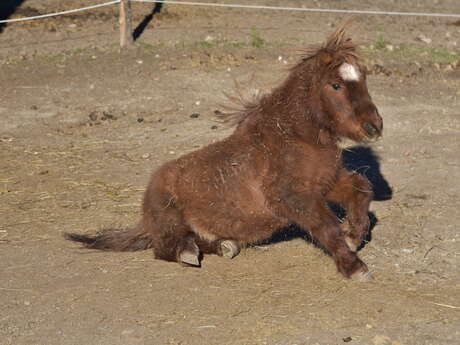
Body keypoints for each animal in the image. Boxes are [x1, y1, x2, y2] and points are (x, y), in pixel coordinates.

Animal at [64, 25, 380, 280]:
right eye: (335, 85)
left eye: (364, 78)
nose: (374, 127)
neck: (294, 136)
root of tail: (145, 211)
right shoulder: (294, 198)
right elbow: (327, 227)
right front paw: (355, 267)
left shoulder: (325, 183)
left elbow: (361, 188)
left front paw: (354, 234)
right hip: (169, 219)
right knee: (165, 247)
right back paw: (189, 253)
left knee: (199, 241)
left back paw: (226, 245)